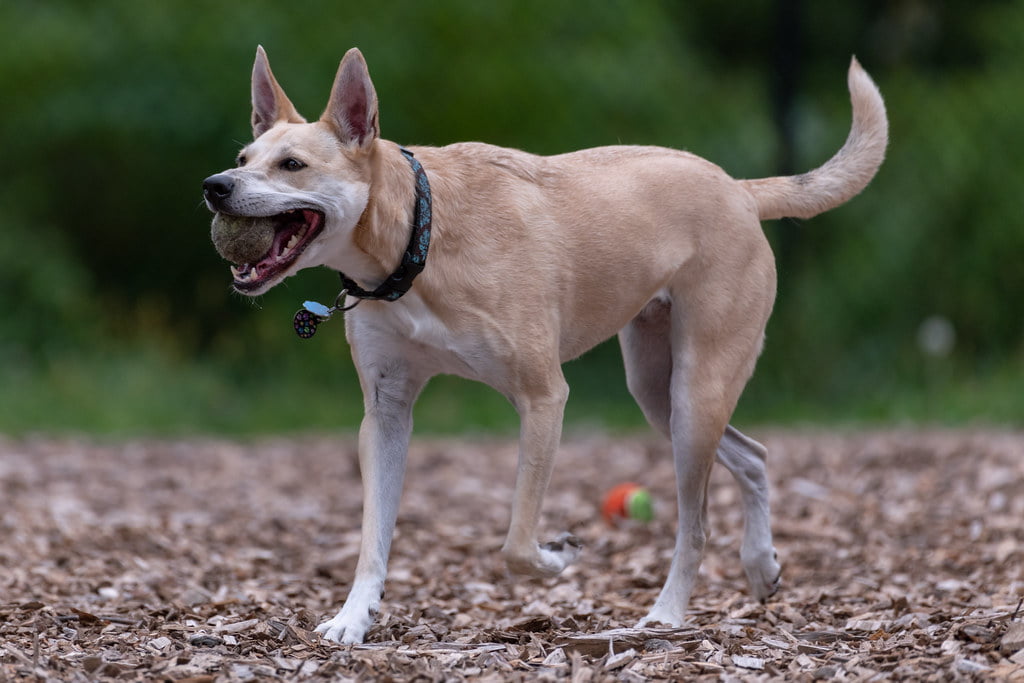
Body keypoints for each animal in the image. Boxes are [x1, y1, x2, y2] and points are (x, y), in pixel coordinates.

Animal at [201, 45, 888, 643]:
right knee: (755, 456)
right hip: (657, 392)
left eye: (292, 165)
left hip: (696, 393)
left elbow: (515, 543)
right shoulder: (387, 412)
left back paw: (666, 616)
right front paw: (352, 619)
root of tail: (739, 188)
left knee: (695, 524)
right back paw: (761, 566)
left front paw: (558, 556)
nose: (215, 185)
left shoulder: (543, 399)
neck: (418, 240)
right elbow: (374, 536)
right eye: (243, 155)